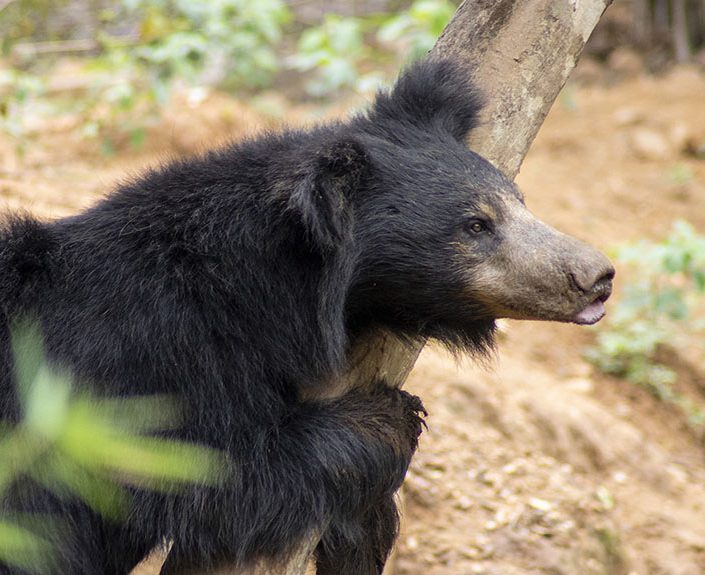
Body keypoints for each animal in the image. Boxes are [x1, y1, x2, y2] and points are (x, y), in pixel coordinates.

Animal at [0, 57, 614, 575]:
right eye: (475, 225)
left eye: (519, 202)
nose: (597, 276)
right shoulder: (145, 364)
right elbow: (218, 480)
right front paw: (387, 417)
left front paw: (366, 535)